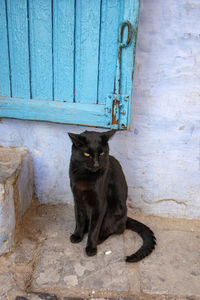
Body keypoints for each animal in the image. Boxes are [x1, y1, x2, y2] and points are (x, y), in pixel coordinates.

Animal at [68, 130, 155, 262]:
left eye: (102, 153)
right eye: (87, 154)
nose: (96, 164)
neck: (84, 175)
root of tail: (126, 218)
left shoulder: (99, 205)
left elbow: (94, 229)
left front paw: (91, 248)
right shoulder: (77, 200)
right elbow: (79, 219)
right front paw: (77, 235)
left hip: (113, 210)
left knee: (112, 229)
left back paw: (98, 240)